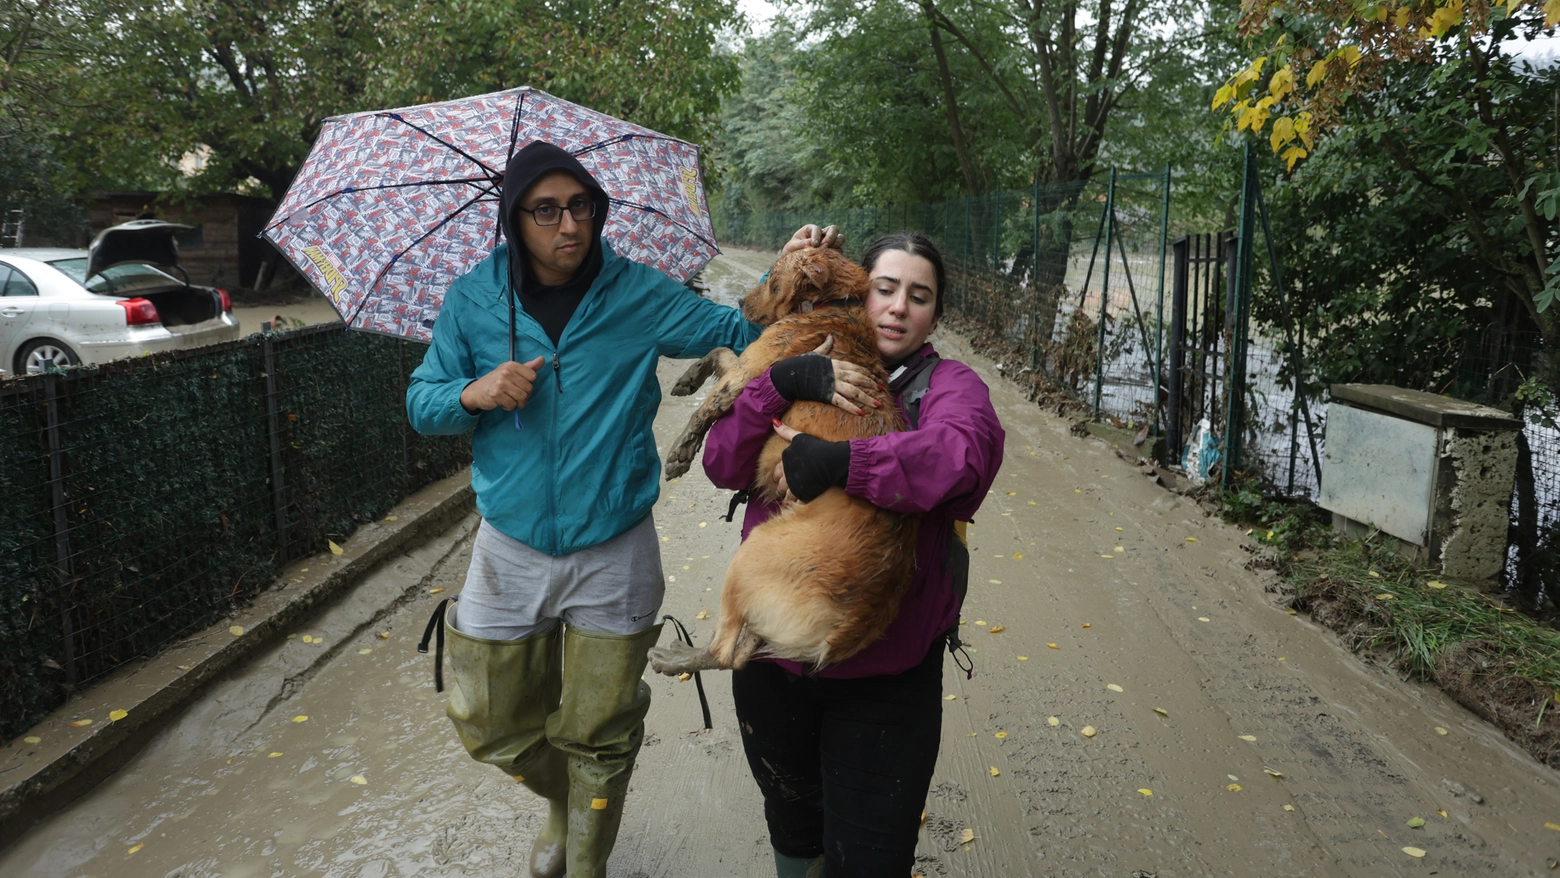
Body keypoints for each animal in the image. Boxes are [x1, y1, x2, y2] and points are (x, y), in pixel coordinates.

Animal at [652, 247, 917, 673]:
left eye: (773, 279)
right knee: (742, 650)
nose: (739, 303)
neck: (831, 304)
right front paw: (689, 378)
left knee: (725, 653)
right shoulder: (747, 369)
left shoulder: (745, 373)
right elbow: (717, 355)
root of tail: (860, 618)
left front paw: (681, 450)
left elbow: (710, 396)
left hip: (750, 556)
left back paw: (678, 657)